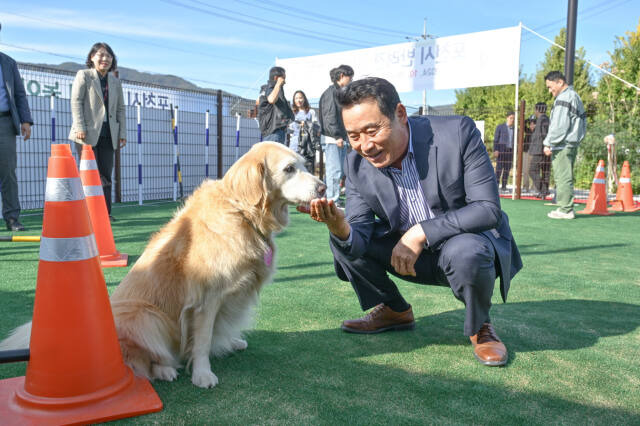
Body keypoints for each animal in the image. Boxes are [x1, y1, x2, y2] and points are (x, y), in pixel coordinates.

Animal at [1, 141, 324, 388]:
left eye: (305, 164)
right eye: (289, 169)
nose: (323, 187)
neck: (243, 212)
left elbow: (217, 331)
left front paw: (229, 342)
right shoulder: (206, 299)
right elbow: (202, 340)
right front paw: (202, 374)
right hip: (146, 314)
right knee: (137, 363)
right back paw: (166, 369)